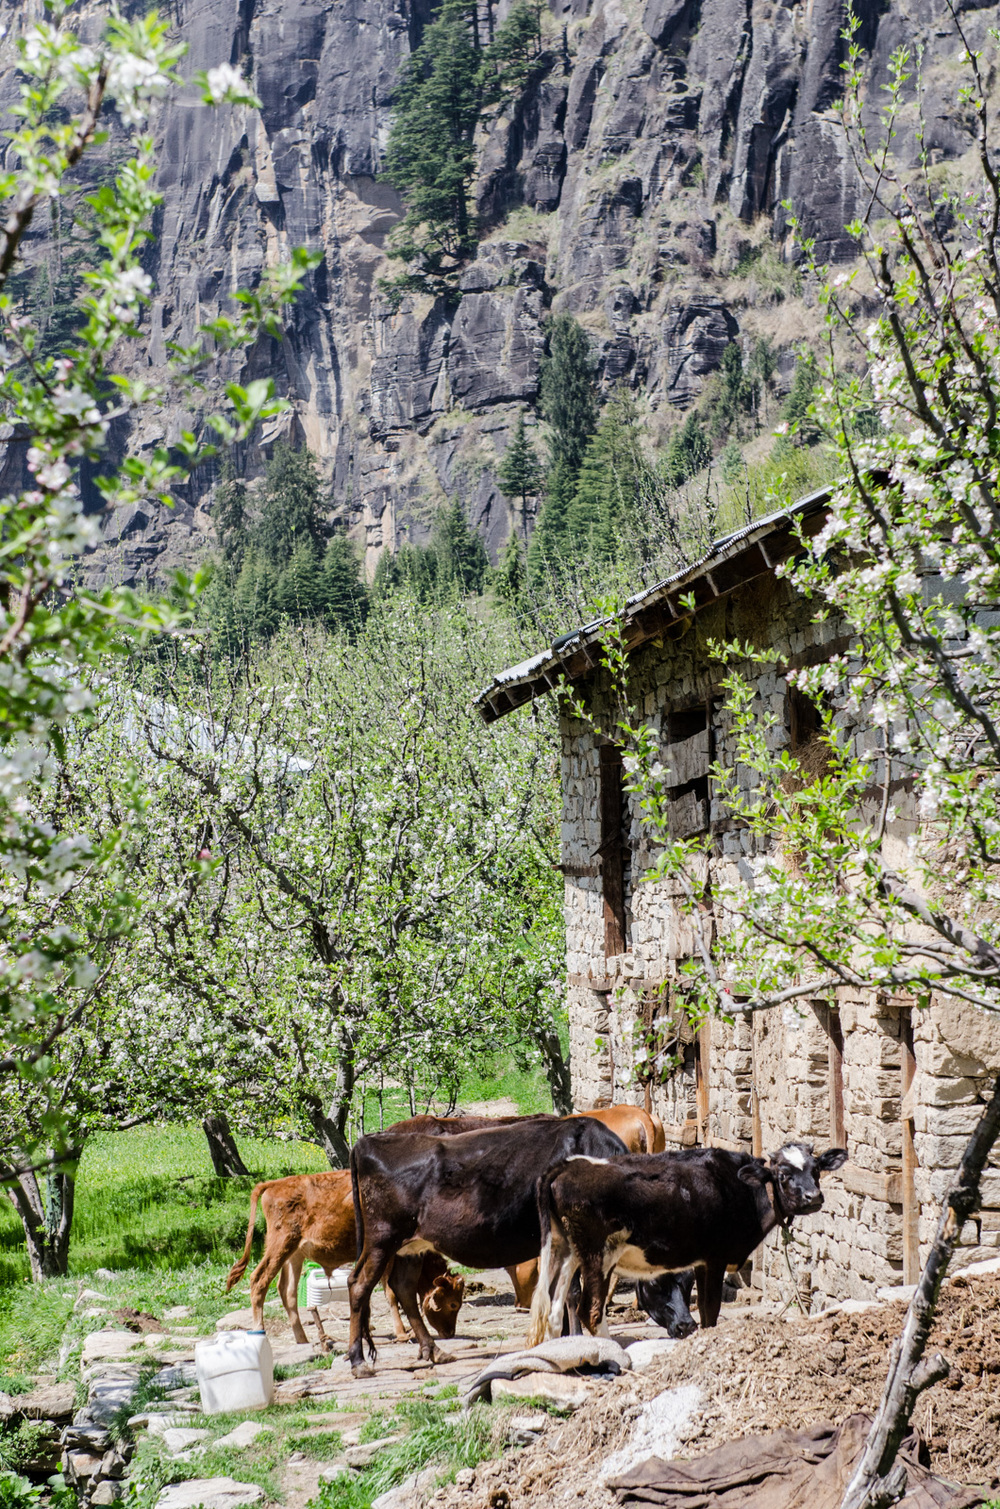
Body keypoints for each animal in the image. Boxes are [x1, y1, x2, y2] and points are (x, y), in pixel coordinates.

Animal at [527, 1140, 850, 1346]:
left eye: (816, 1170)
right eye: (783, 1175)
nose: (814, 1197)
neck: (742, 1191)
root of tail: (567, 1166)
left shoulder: (701, 1261)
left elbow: (706, 1314)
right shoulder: (716, 1256)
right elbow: (711, 1309)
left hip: (565, 1250)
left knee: (552, 1311)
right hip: (598, 1254)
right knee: (590, 1311)